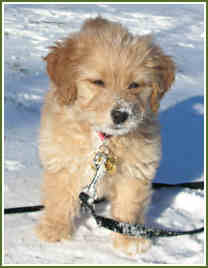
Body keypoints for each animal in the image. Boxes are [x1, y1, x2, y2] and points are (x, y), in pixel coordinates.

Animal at [36, 16, 176, 255]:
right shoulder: (63, 160)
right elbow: (59, 197)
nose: (121, 114)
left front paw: (129, 237)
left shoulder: (136, 168)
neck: (104, 139)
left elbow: (130, 203)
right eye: (98, 82)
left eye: (134, 85)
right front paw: (54, 229)